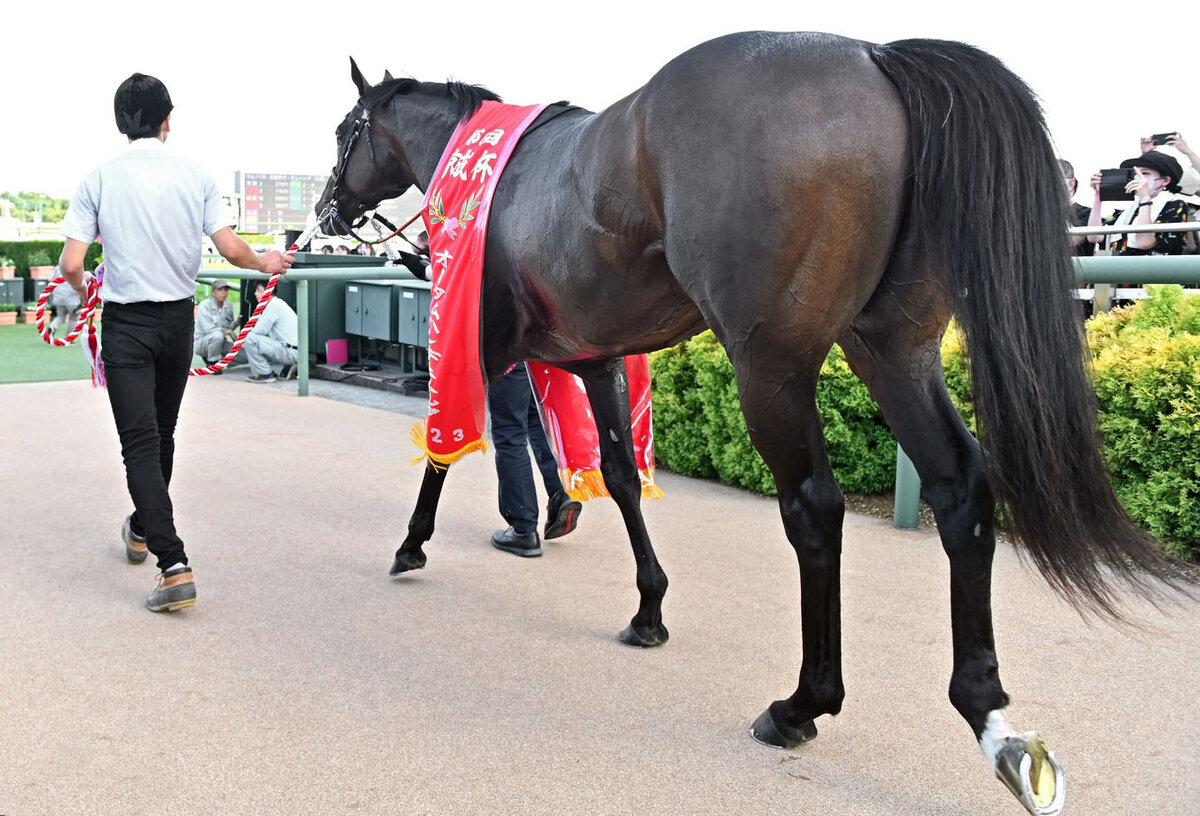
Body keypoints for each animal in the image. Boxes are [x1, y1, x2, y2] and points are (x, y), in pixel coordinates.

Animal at [312, 31, 1180, 816]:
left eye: (345, 129)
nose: (326, 208)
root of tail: (873, 56)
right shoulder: (595, 359)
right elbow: (620, 477)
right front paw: (647, 607)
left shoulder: (484, 346)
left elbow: (445, 447)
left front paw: (413, 543)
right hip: (893, 348)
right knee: (959, 487)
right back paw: (989, 716)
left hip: (771, 365)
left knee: (815, 508)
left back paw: (802, 704)